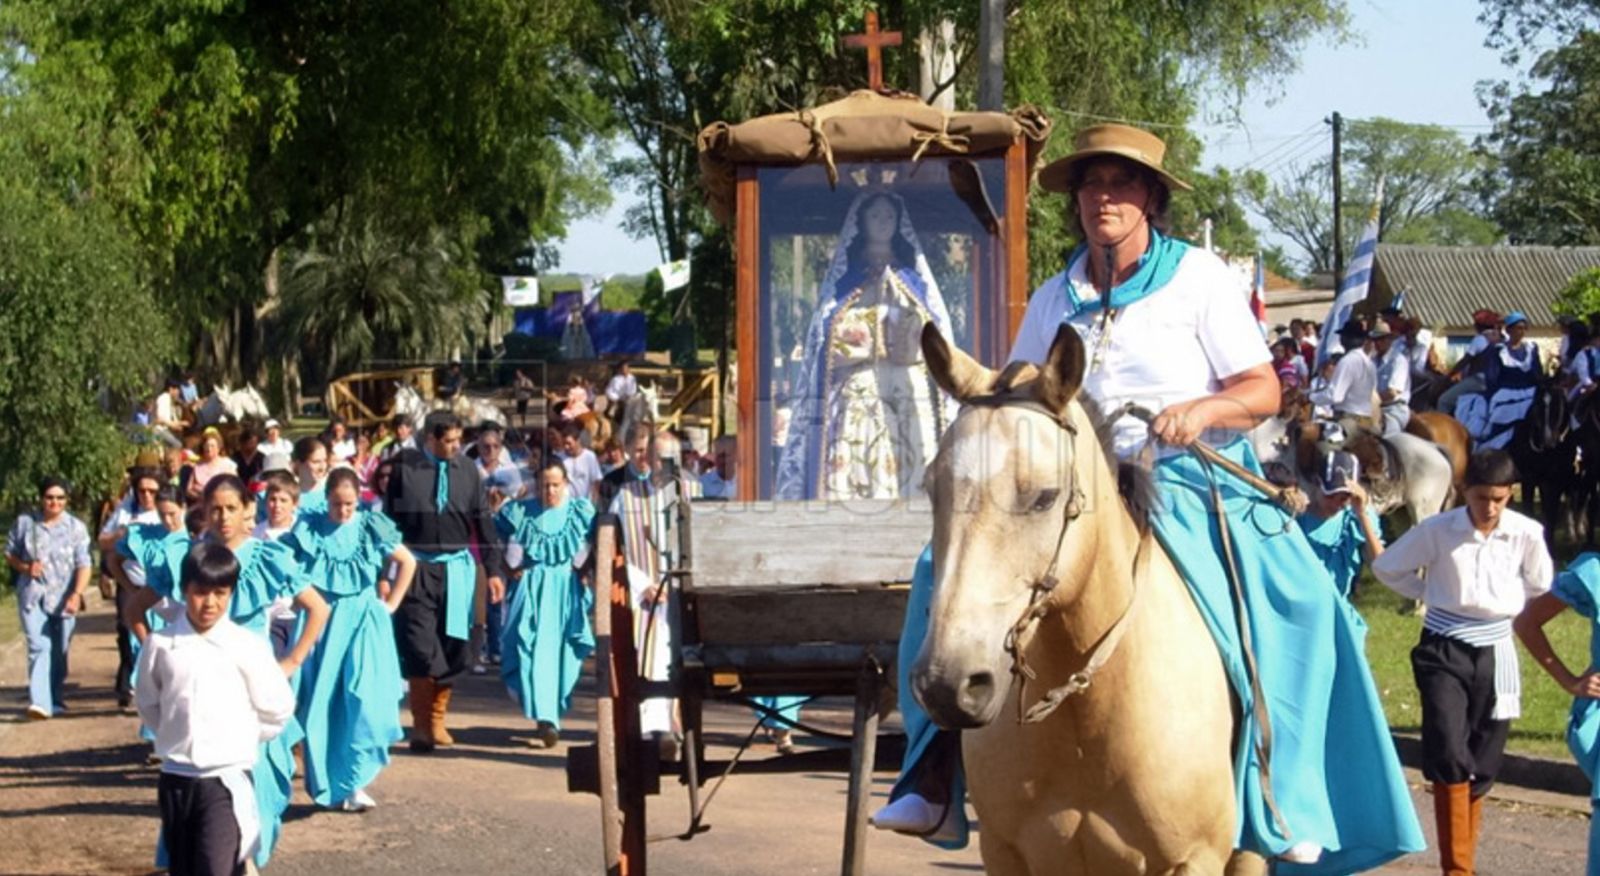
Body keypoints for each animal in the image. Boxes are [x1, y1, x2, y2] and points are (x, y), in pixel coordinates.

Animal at [908, 326, 1254, 876]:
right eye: (931, 487)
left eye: (1045, 496)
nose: (947, 685)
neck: (1086, 720)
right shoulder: (1004, 853)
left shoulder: (1195, 857)